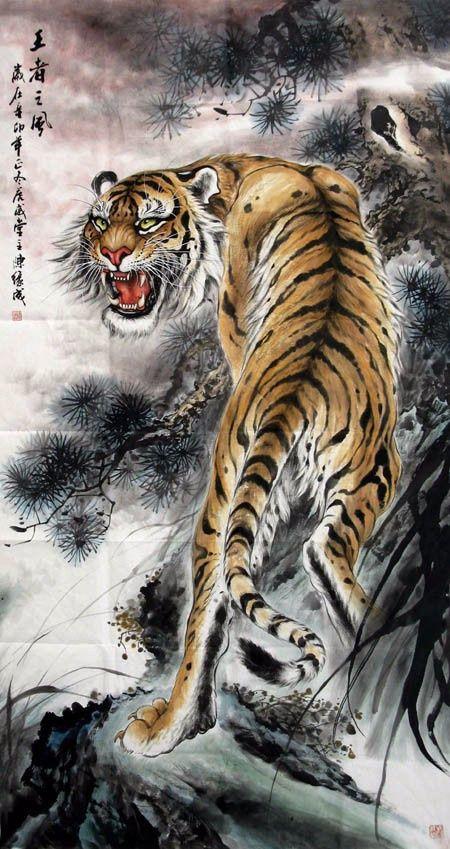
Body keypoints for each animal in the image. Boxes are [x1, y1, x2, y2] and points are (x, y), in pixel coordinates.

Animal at [58, 154, 401, 757]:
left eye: (148, 222)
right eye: (100, 221)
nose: (111, 254)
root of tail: (295, 391)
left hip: (231, 495)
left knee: (209, 613)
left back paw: (164, 728)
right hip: (365, 474)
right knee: (330, 559)